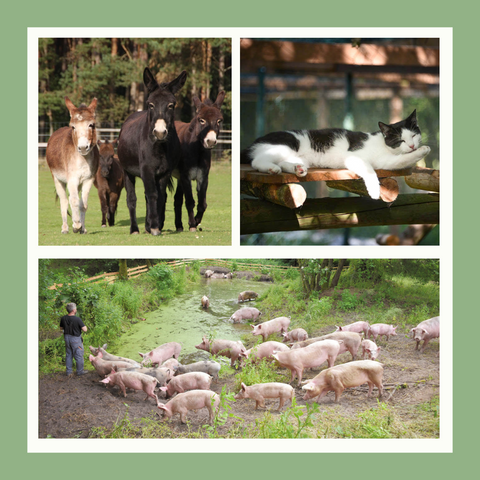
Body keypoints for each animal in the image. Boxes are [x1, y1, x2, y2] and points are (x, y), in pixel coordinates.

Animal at [244, 110, 432, 199]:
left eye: (413, 135)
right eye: (400, 140)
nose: (412, 145)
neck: (383, 145)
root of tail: (254, 142)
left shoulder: (386, 162)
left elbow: (400, 160)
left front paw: (421, 150)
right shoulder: (353, 157)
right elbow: (370, 171)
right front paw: (374, 191)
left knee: (284, 162)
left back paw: (298, 169)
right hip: (285, 146)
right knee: (257, 161)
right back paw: (272, 169)